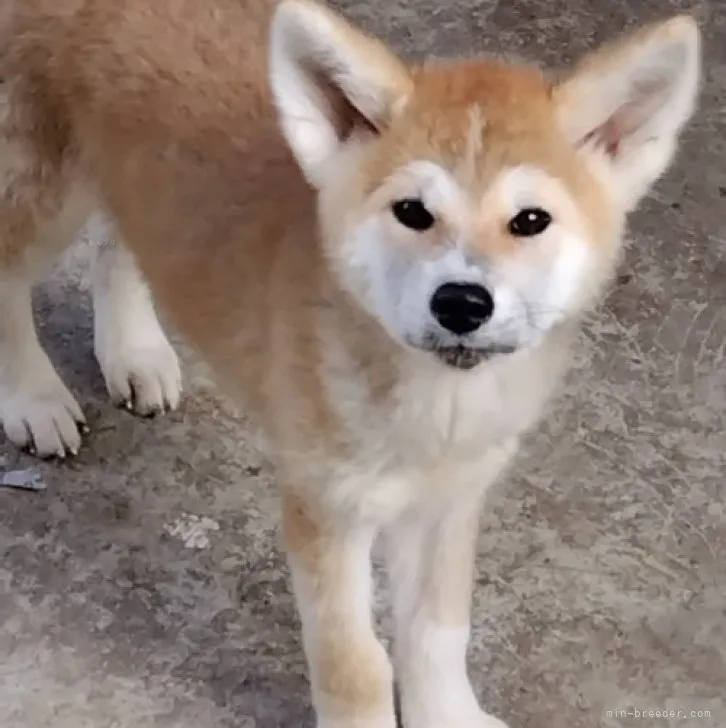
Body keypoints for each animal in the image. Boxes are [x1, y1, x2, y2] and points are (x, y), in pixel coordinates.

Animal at [0, 1, 704, 728]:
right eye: (413, 212)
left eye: (530, 220)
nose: (461, 301)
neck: (432, 413)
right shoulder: (328, 507)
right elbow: (356, 665)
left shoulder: (447, 504)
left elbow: (437, 633)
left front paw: (447, 713)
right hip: (45, 183)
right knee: (9, 273)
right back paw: (33, 397)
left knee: (121, 239)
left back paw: (133, 348)